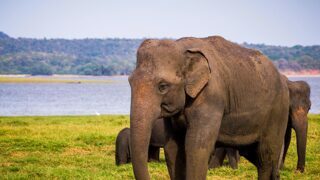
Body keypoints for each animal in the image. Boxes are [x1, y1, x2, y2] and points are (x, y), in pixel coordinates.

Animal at [128, 35, 290, 179]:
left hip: (278, 112)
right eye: (130, 82)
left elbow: (196, 147)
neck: (182, 47)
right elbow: (173, 147)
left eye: (162, 86)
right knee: (257, 157)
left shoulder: (211, 97)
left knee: (265, 156)